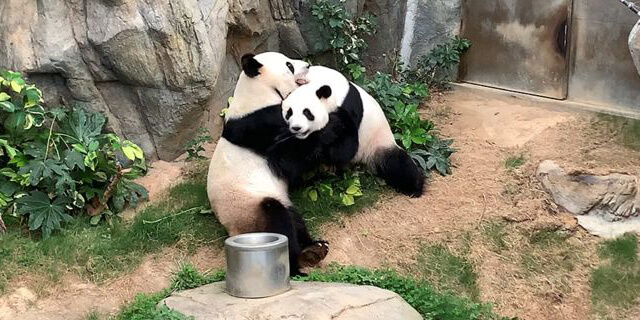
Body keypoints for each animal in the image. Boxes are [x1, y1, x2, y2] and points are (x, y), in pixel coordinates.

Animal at [208, 52, 330, 276]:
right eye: (289, 65)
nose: (307, 65)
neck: (258, 93)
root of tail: (232, 231)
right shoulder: (259, 126)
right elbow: (287, 159)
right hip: (250, 210)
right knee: (278, 220)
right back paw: (297, 263)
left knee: (294, 219)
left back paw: (314, 249)